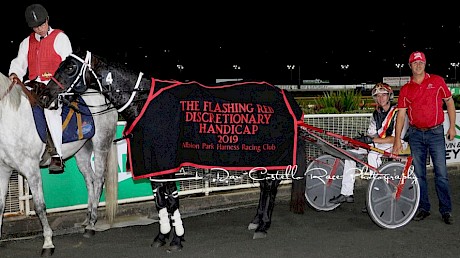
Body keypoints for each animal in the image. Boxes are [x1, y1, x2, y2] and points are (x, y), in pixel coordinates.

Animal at [43, 50, 308, 252]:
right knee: (265, 186)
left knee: (270, 186)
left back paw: (263, 225)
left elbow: (171, 201)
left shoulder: (167, 163)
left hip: (269, 152)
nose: (45, 95)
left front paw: (177, 239)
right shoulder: (152, 163)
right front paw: (161, 236)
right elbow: (160, 201)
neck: (144, 102)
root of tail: (285, 95)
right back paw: (256, 221)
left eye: (70, 68)